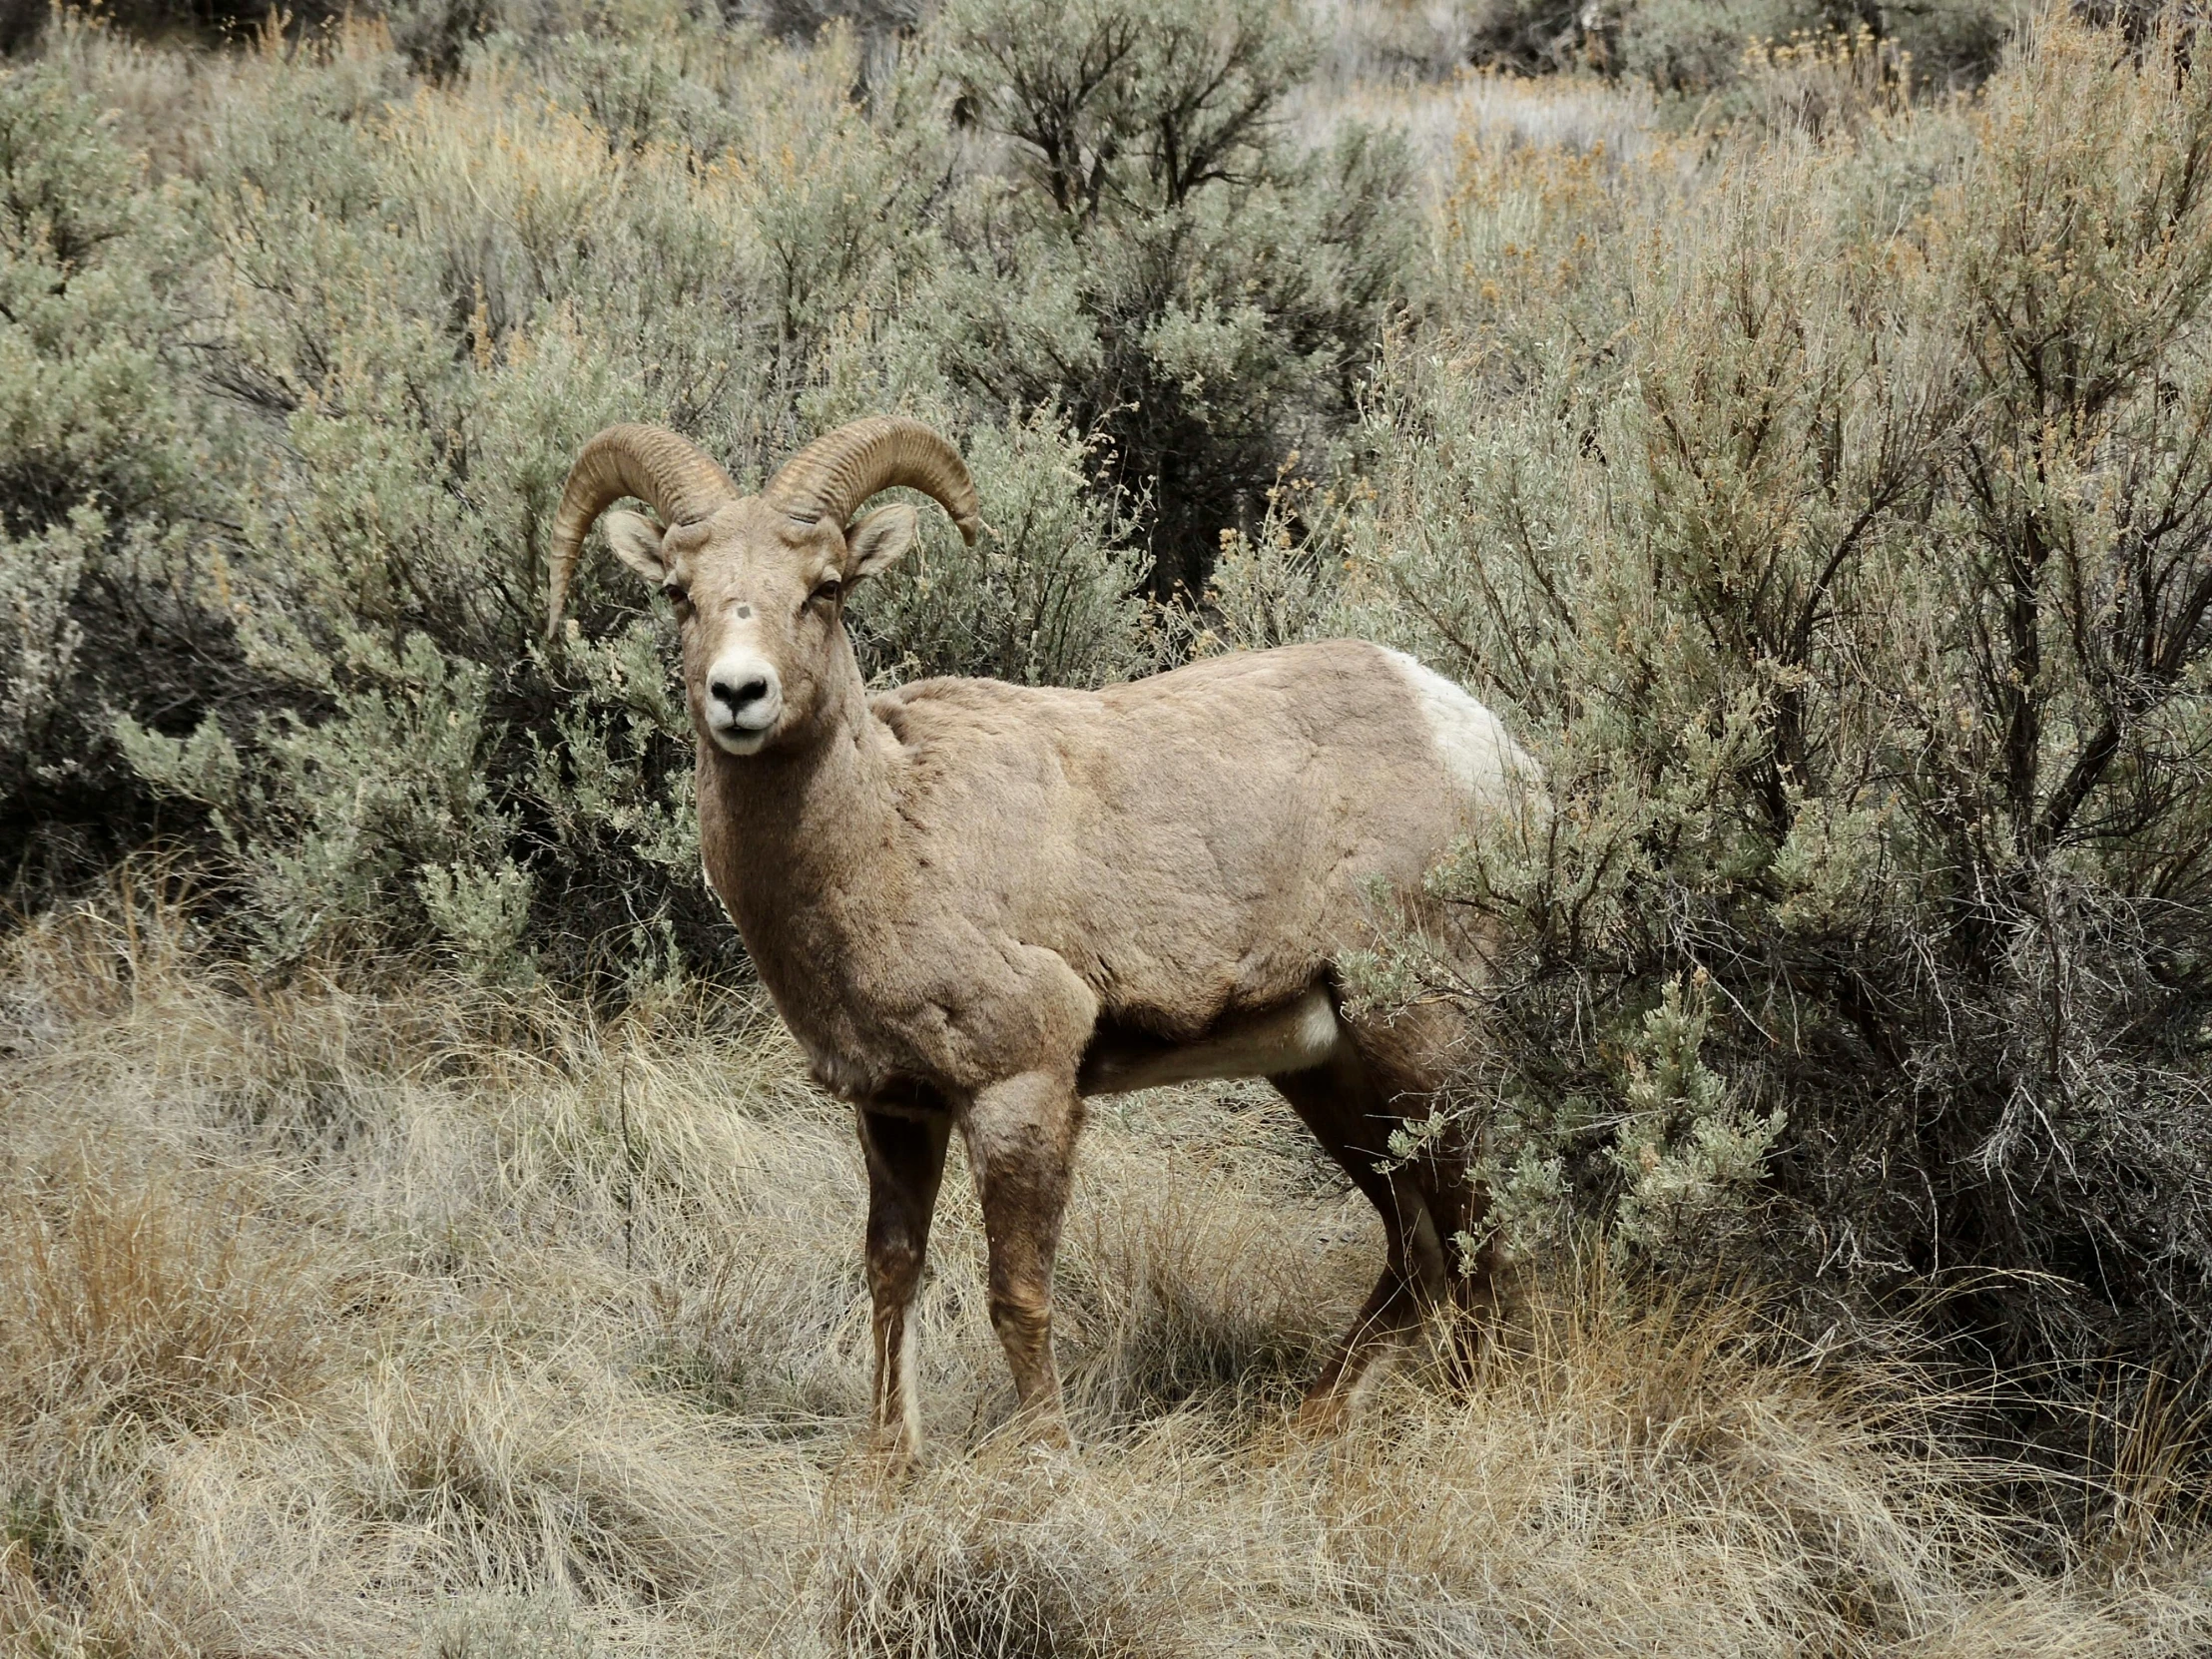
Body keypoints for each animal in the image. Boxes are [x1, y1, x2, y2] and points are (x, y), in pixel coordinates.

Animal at [548, 422, 1539, 1459]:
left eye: (826, 587)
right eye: (678, 591)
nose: (739, 694)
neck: (886, 832)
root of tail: (1488, 751)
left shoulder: (1021, 1087)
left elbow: (1016, 1297)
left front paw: (1049, 1464)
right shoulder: (896, 1107)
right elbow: (891, 1276)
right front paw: (886, 1467)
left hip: (1423, 1042)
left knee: (1478, 1234)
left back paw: (1478, 1417)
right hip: (1328, 1074)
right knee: (1416, 1248)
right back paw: (1303, 1431)